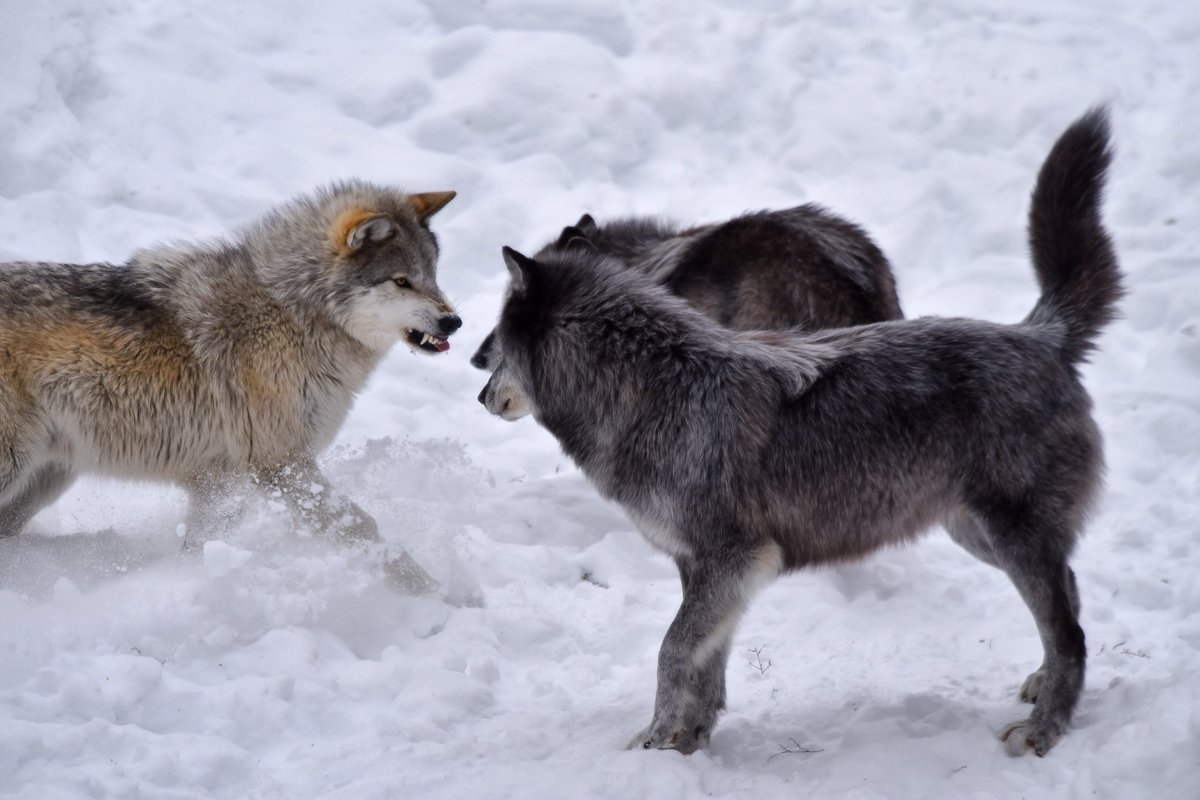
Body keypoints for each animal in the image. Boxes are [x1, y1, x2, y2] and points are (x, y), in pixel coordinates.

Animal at [0, 181, 459, 589]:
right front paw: (441, 593)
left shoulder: (221, 484)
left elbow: (202, 544)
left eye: (433, 276)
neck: (290, 312)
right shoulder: (281, 467)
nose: (454, 321)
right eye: (402, 281)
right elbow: (366, 529)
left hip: (46, 479)